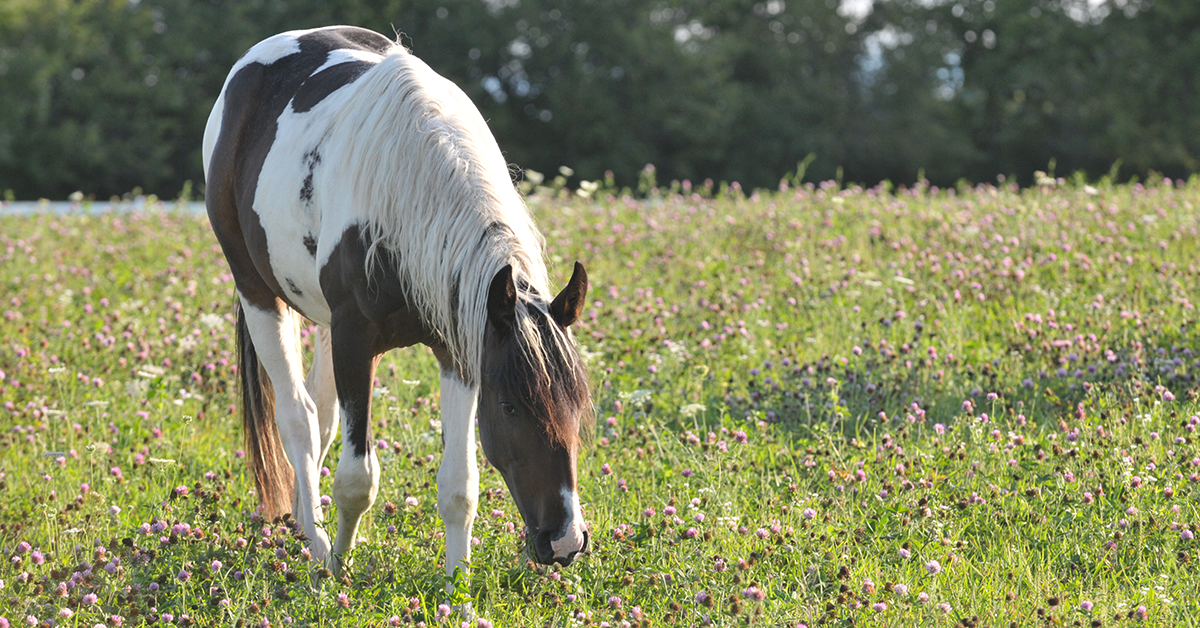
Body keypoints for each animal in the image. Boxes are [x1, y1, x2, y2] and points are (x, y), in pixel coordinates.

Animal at [202, 25, 595, 585]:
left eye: (578, 403)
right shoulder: (354, 340)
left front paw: (458, 582)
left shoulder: (462, 346)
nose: (565, 542)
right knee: (298, 417)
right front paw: (338, 568)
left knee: (320, 414)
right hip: (256, 291)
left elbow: (460, 486)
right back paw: (315, 542)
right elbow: (357, 479)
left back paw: (303, 521)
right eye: (510, 406)